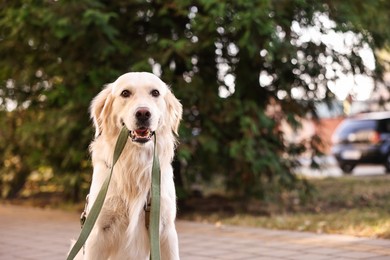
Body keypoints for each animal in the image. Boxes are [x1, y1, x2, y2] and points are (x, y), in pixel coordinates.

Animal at [80, 72, 183, 258]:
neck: (135, 163)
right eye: (125, 93)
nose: (143, 113)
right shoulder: (98, 230)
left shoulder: (166, 229)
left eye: (155, 93)